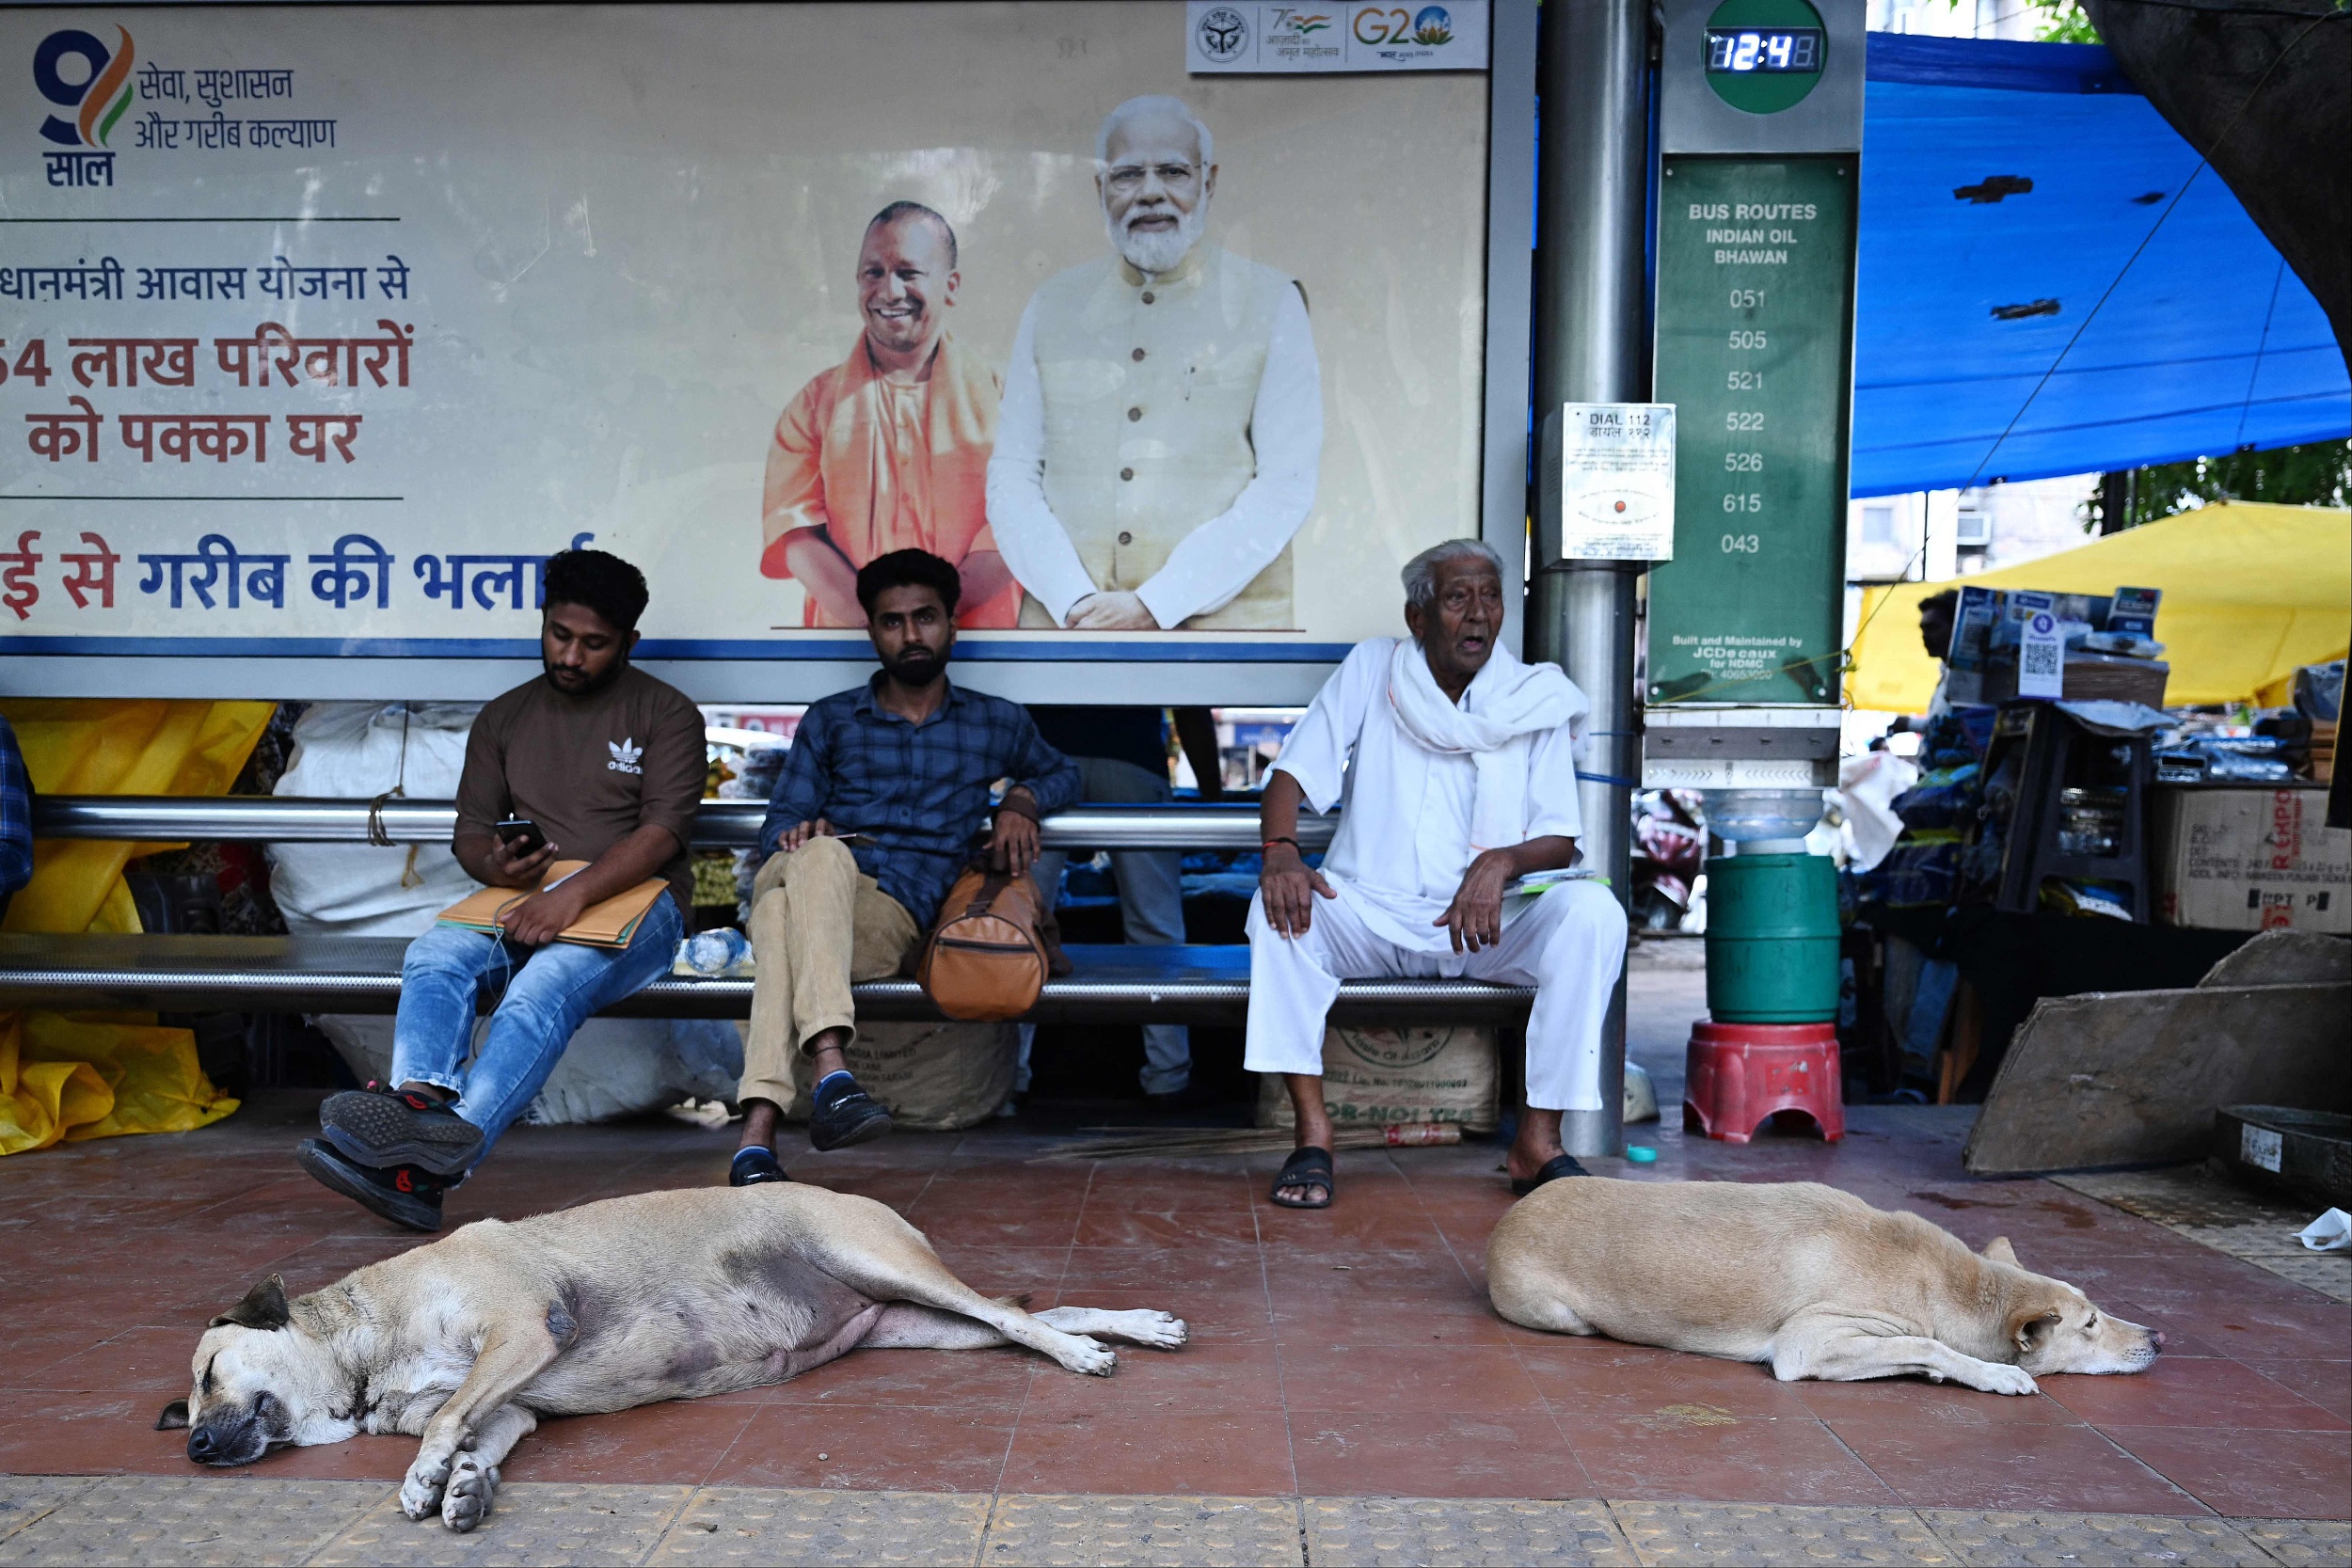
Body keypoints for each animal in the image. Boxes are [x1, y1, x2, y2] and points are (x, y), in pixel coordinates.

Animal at [153, 1189, 1176, 1532]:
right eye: (188, 1406)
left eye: (206, 1376)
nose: (195, 1447)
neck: (368, 1344)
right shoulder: (514, 1401)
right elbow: (482, 1427)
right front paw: (465, 1484)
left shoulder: (524, 1327)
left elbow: (447, 1416)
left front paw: (425, 1478)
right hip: (913, 1319)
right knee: (1017, 1317)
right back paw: (1130, 1326)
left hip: (886, 1261)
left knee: (1015, 1317)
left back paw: (1085, 1350)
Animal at [1496, 1175, 2154, 1401]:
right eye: (2090, 1323)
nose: (2159, 1338)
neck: (1943, 1281)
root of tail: (1513, 1213)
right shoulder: (1807, 1342)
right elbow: (1930, 1344)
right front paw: (1990, 1374)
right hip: (1565, 1316)